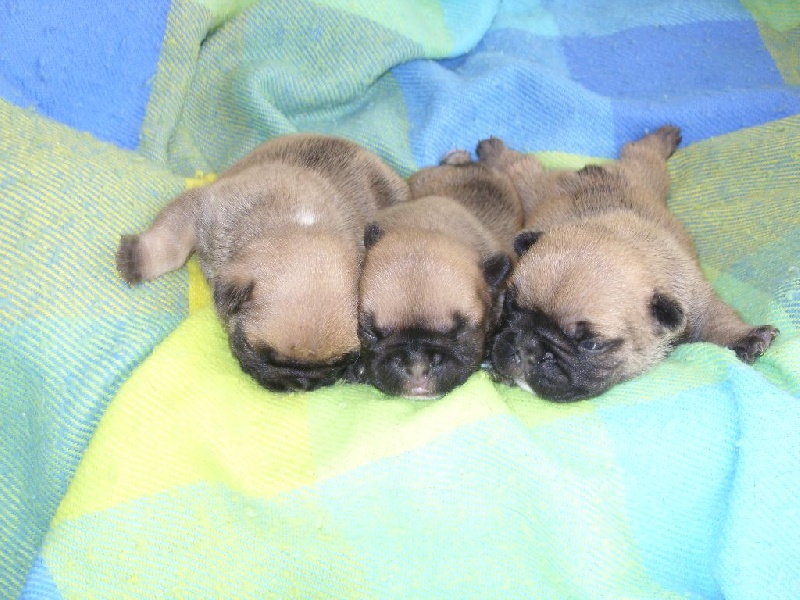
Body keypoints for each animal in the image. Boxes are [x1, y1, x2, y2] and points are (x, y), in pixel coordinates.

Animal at [115, 134, 410, 392]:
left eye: (340, 362)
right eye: (262, 354)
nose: (302, 384)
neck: (295, 223)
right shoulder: (201, 209)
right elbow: (171, 242)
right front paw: (138, 258)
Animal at [478, 129, 780, 406]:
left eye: (591, 345)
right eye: (509, 308)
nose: (525, 345)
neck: (614, 234)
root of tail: (592, 171)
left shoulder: (697, 302)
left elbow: (719, 318)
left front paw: (745, 336)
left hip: (647, 177)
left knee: (642, 154)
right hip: (534, 189)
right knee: (520, 167)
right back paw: (493, 151)